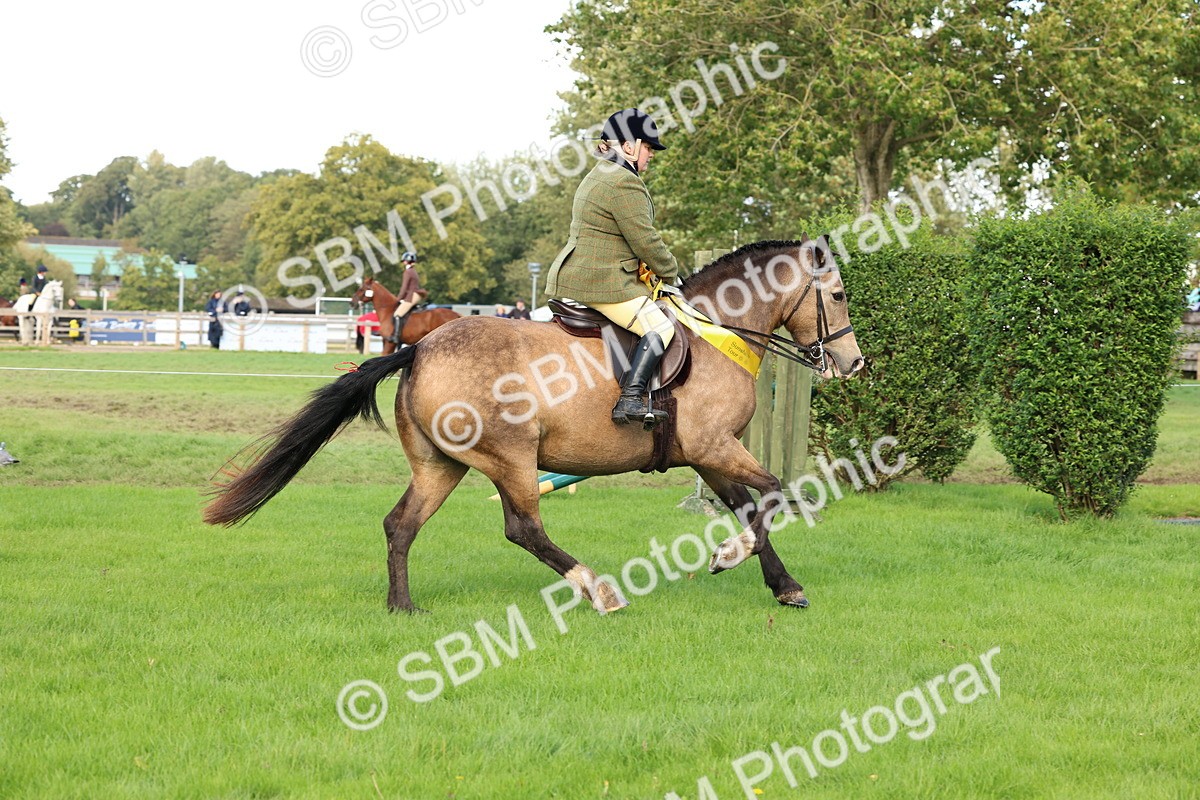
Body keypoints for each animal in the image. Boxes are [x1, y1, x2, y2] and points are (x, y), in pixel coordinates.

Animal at [205, 239, 864, 614]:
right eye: (835, 294)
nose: (853, 363)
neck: (716, 331)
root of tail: (418, 350)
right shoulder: (714, 445)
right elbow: (774, 493)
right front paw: (731, 556)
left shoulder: (707, 453)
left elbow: (753, 508)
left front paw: (782, 585)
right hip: (512, 459)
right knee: (522, 527)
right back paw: (598, 590)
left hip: (441, 465)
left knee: (401, 525)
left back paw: (402, 607)